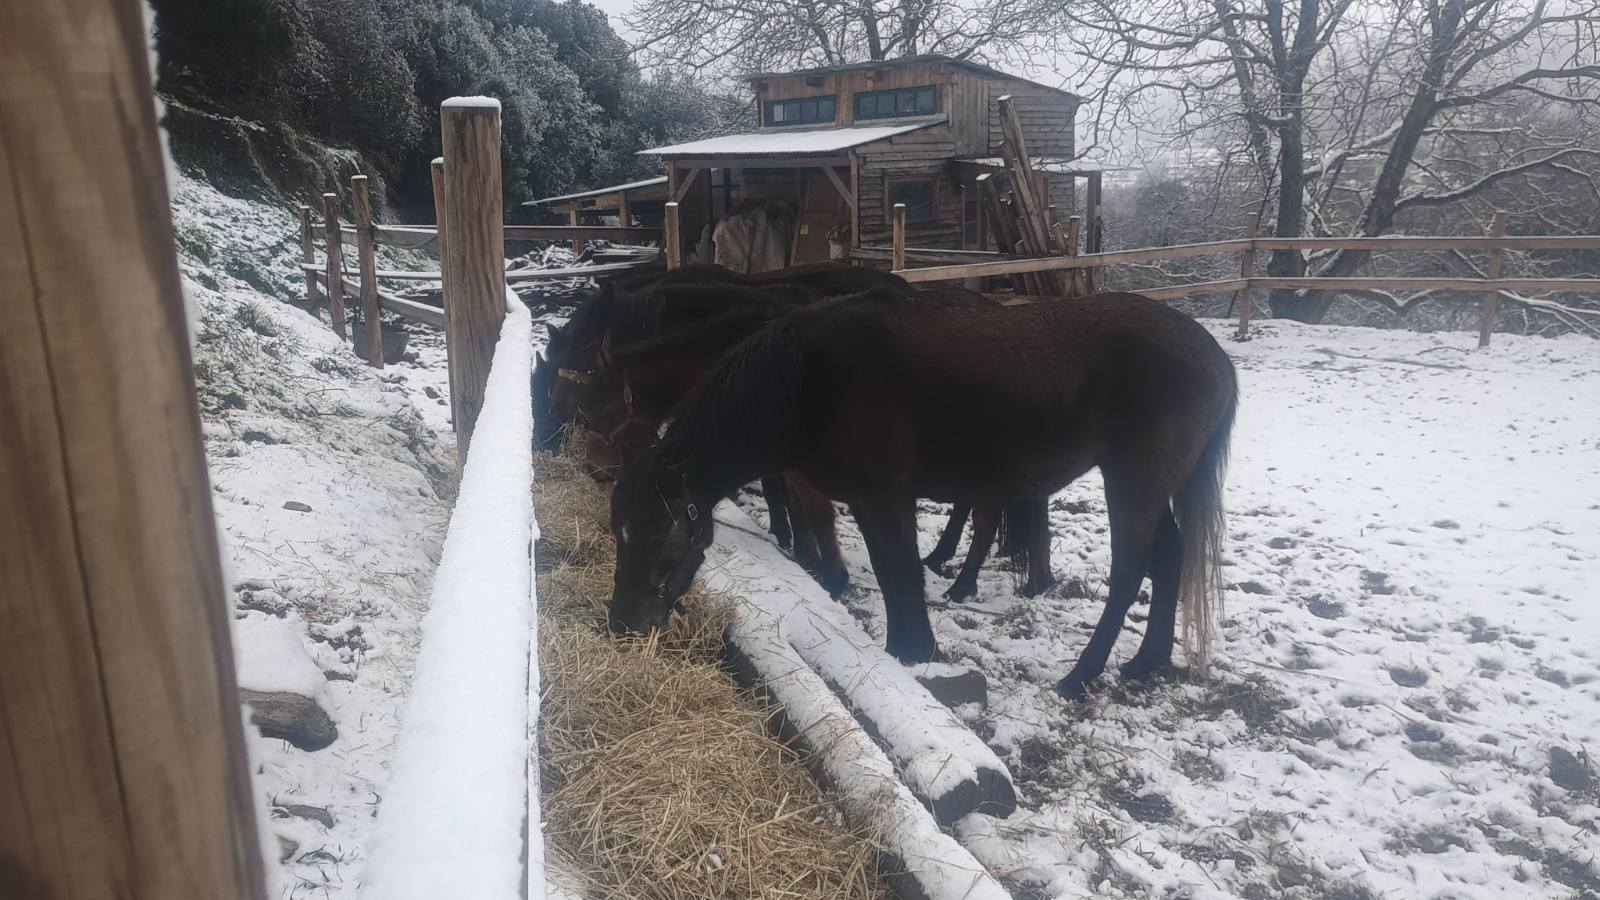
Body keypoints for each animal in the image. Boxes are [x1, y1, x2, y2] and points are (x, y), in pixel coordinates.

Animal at [607, 288, 1237, 700]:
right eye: (620, 533)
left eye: (660, 531)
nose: (622, 625)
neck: (810, 382)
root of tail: (1213, 355)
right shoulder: (867, 502)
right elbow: (891, 577)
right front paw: (904, 651)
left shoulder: (887, 499)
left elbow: (903, 574)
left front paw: (919, 654)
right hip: (1158, 487)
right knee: (1170, 559)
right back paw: (1147, 662)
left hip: (1134, 482)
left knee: (1131, 571)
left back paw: (1081, 676)